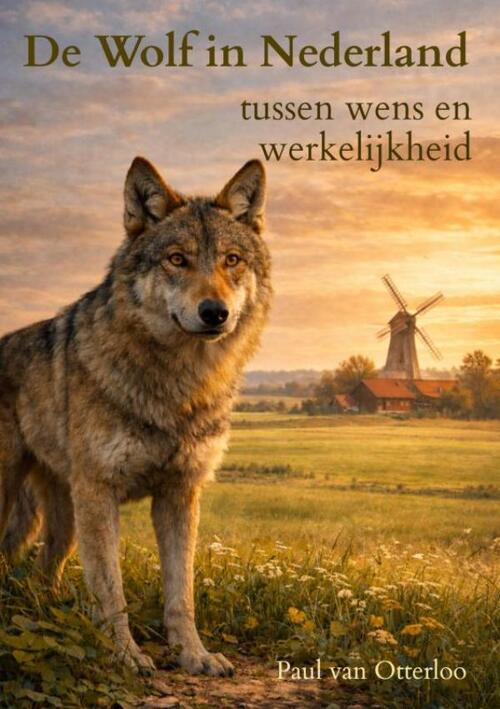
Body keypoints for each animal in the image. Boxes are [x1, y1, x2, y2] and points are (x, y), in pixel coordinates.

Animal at [0, 157, 271, 675]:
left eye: (231, 260)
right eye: (178, 260)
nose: (215, 312)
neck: (178, 386)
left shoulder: (180, 496)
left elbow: (181, 593)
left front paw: (195, 656)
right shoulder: (100, 494)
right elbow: (112, 591)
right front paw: (126, 655)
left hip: (65, 521)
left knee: (44, 571)